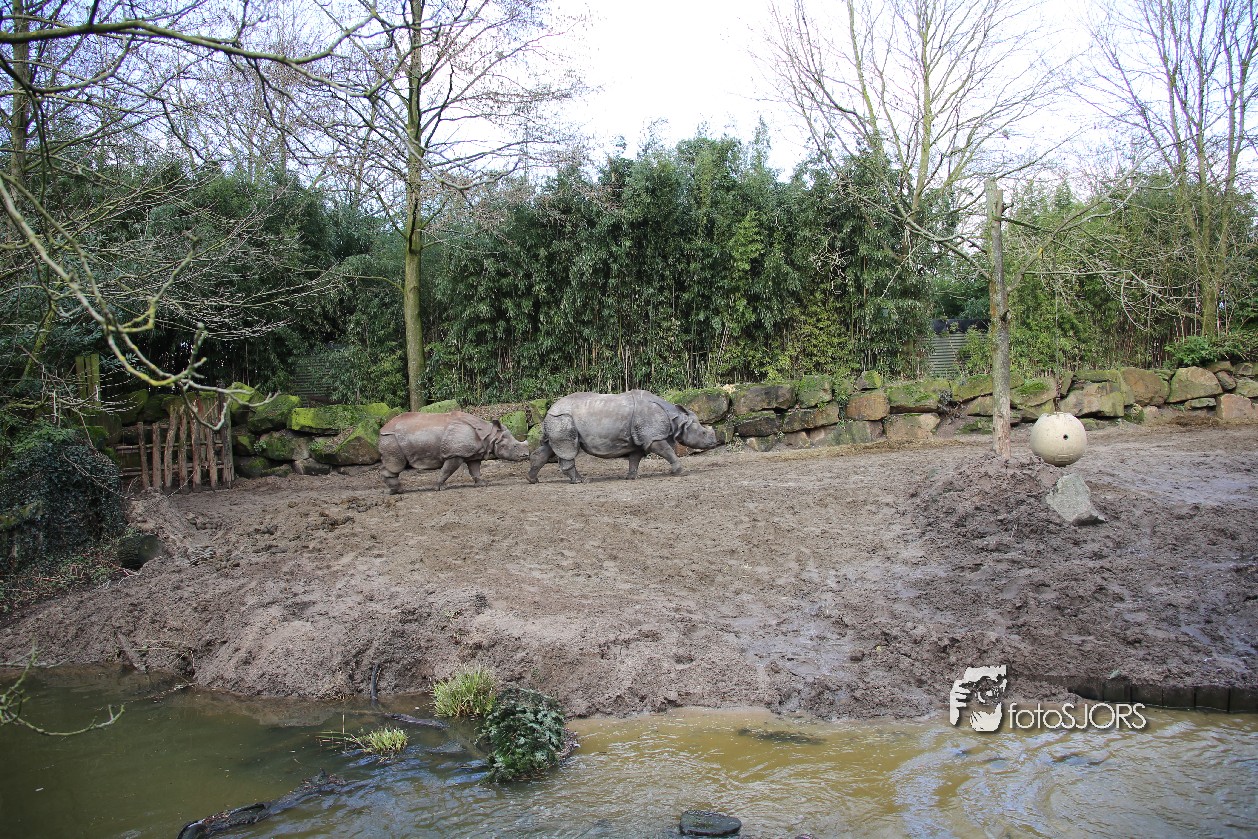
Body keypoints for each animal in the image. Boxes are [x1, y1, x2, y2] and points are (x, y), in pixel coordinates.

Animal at [378, 411, 529, 493]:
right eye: (515, 446)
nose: (526, 455)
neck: (491, 436)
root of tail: (382, 429)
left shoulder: (474, 454)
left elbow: (475, 470)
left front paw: (482, 484)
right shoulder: (455, 454)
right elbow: (446, 471)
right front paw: (438, 488)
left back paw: (395, 491)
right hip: (390, 438)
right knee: (396, 464)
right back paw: (398, 491)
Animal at [527, 389, 719, 484]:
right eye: (703, 433)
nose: (715, 442)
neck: (676, 419)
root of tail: (549, 410)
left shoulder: (640, 439)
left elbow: (635, 458)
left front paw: (632, 477)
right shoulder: (652, 437)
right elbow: (667, 451)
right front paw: (680, 472)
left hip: (557, 420)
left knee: (549, 448)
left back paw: (533, 480)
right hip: (563, 419)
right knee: (568, 450)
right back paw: (582, 481)